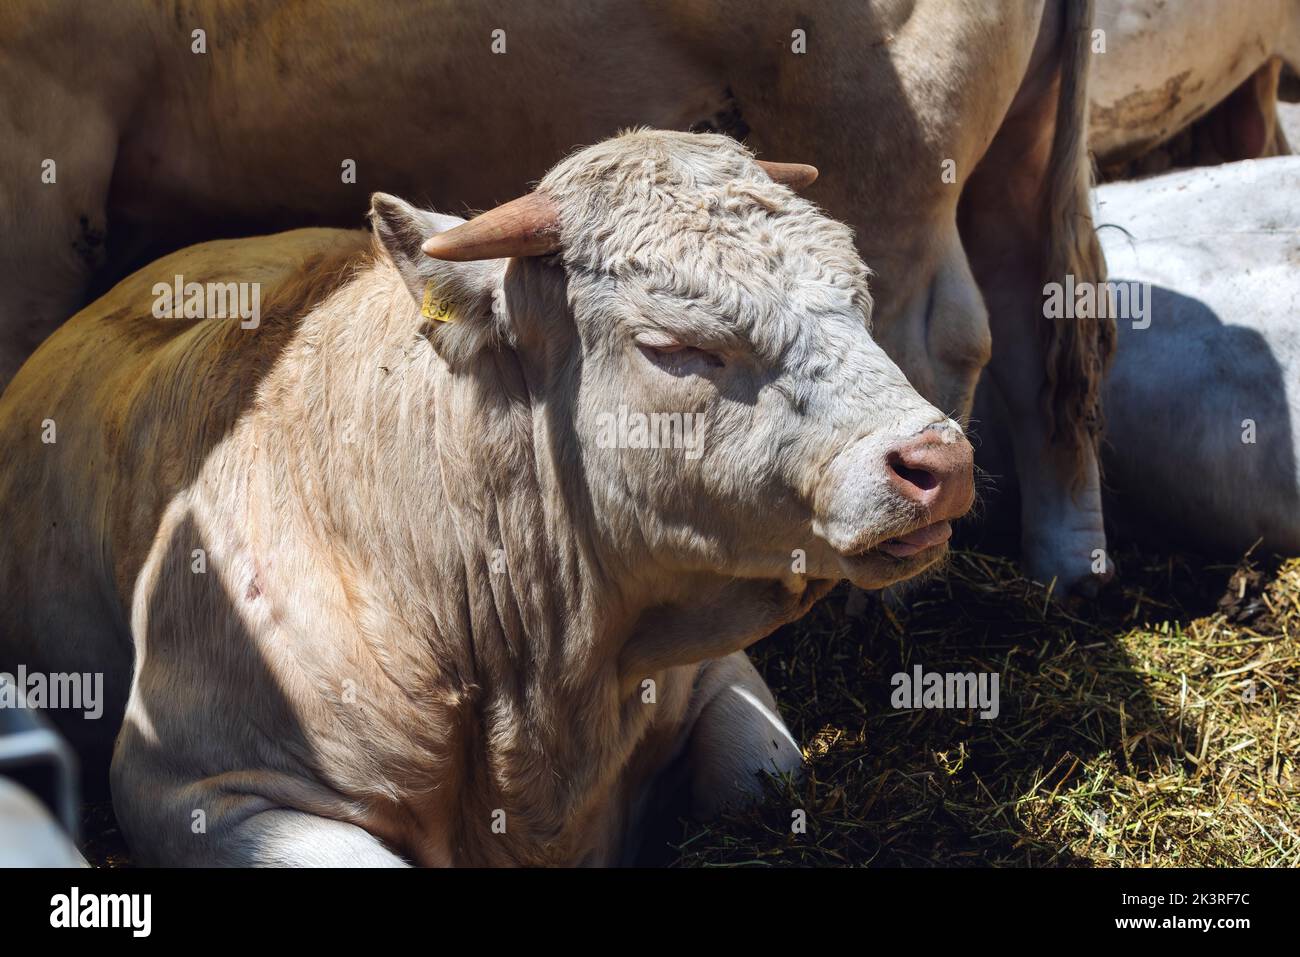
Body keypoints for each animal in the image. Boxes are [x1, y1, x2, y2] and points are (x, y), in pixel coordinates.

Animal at [0, 0, 1111, 594]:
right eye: (675, 347)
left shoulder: (46, 140)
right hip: (1007, 143)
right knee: (1037, 320)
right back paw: (1066, 556)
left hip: (884, 142)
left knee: (947, 338)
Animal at [0, 130, 975, 866]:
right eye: (673, 344)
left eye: (857, 295)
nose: (938, 459)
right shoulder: (190, 782)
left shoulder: (719, 674)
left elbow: (767, 771)